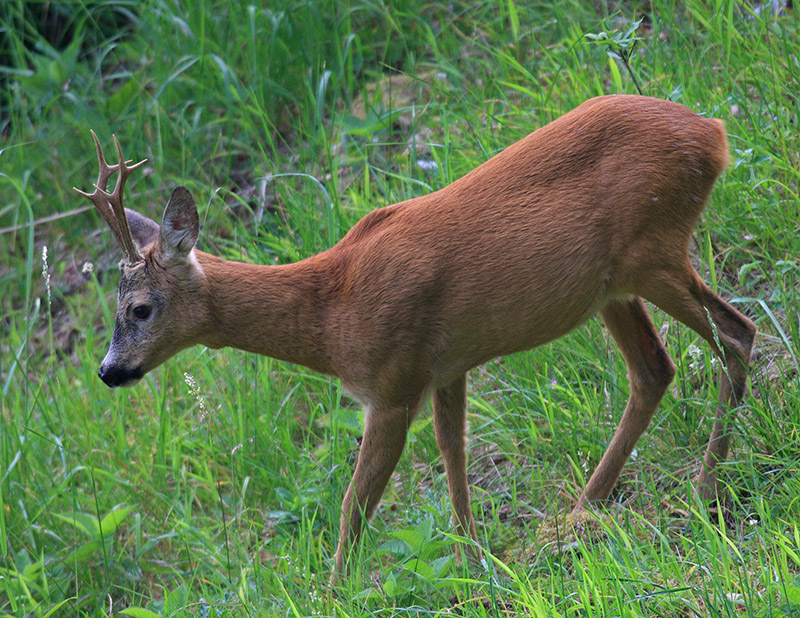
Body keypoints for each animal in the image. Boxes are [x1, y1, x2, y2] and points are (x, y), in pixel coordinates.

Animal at [75, 94, 756, 576]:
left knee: (737, 333)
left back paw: (701, 492)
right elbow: (454, 457)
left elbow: (352, 507)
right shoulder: (447, 366)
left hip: (654, 247)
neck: (330, 313)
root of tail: (714, 134)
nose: (108, 371)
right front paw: (473, 562)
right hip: (613, 287)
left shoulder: (392, 383)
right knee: (655, 370)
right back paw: (572, 520)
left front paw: (335, 594)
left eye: (140, 308)